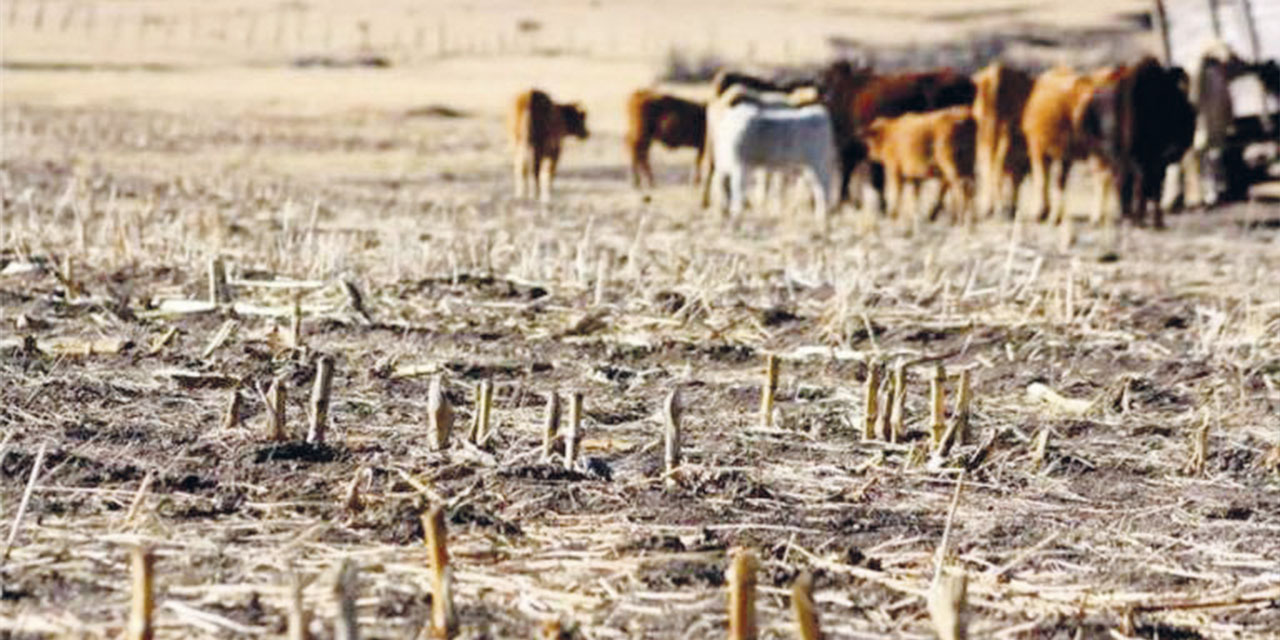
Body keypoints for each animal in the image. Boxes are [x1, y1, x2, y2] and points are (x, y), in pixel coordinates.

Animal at [706, 97, 834, 222]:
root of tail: (819, 113)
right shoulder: (725, 168)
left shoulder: (741, 167)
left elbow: (737, 194)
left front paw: (736, 216)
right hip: (807, 167)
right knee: (817, 188)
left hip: (817, 164)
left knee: (822, 188)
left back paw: (822, 216)